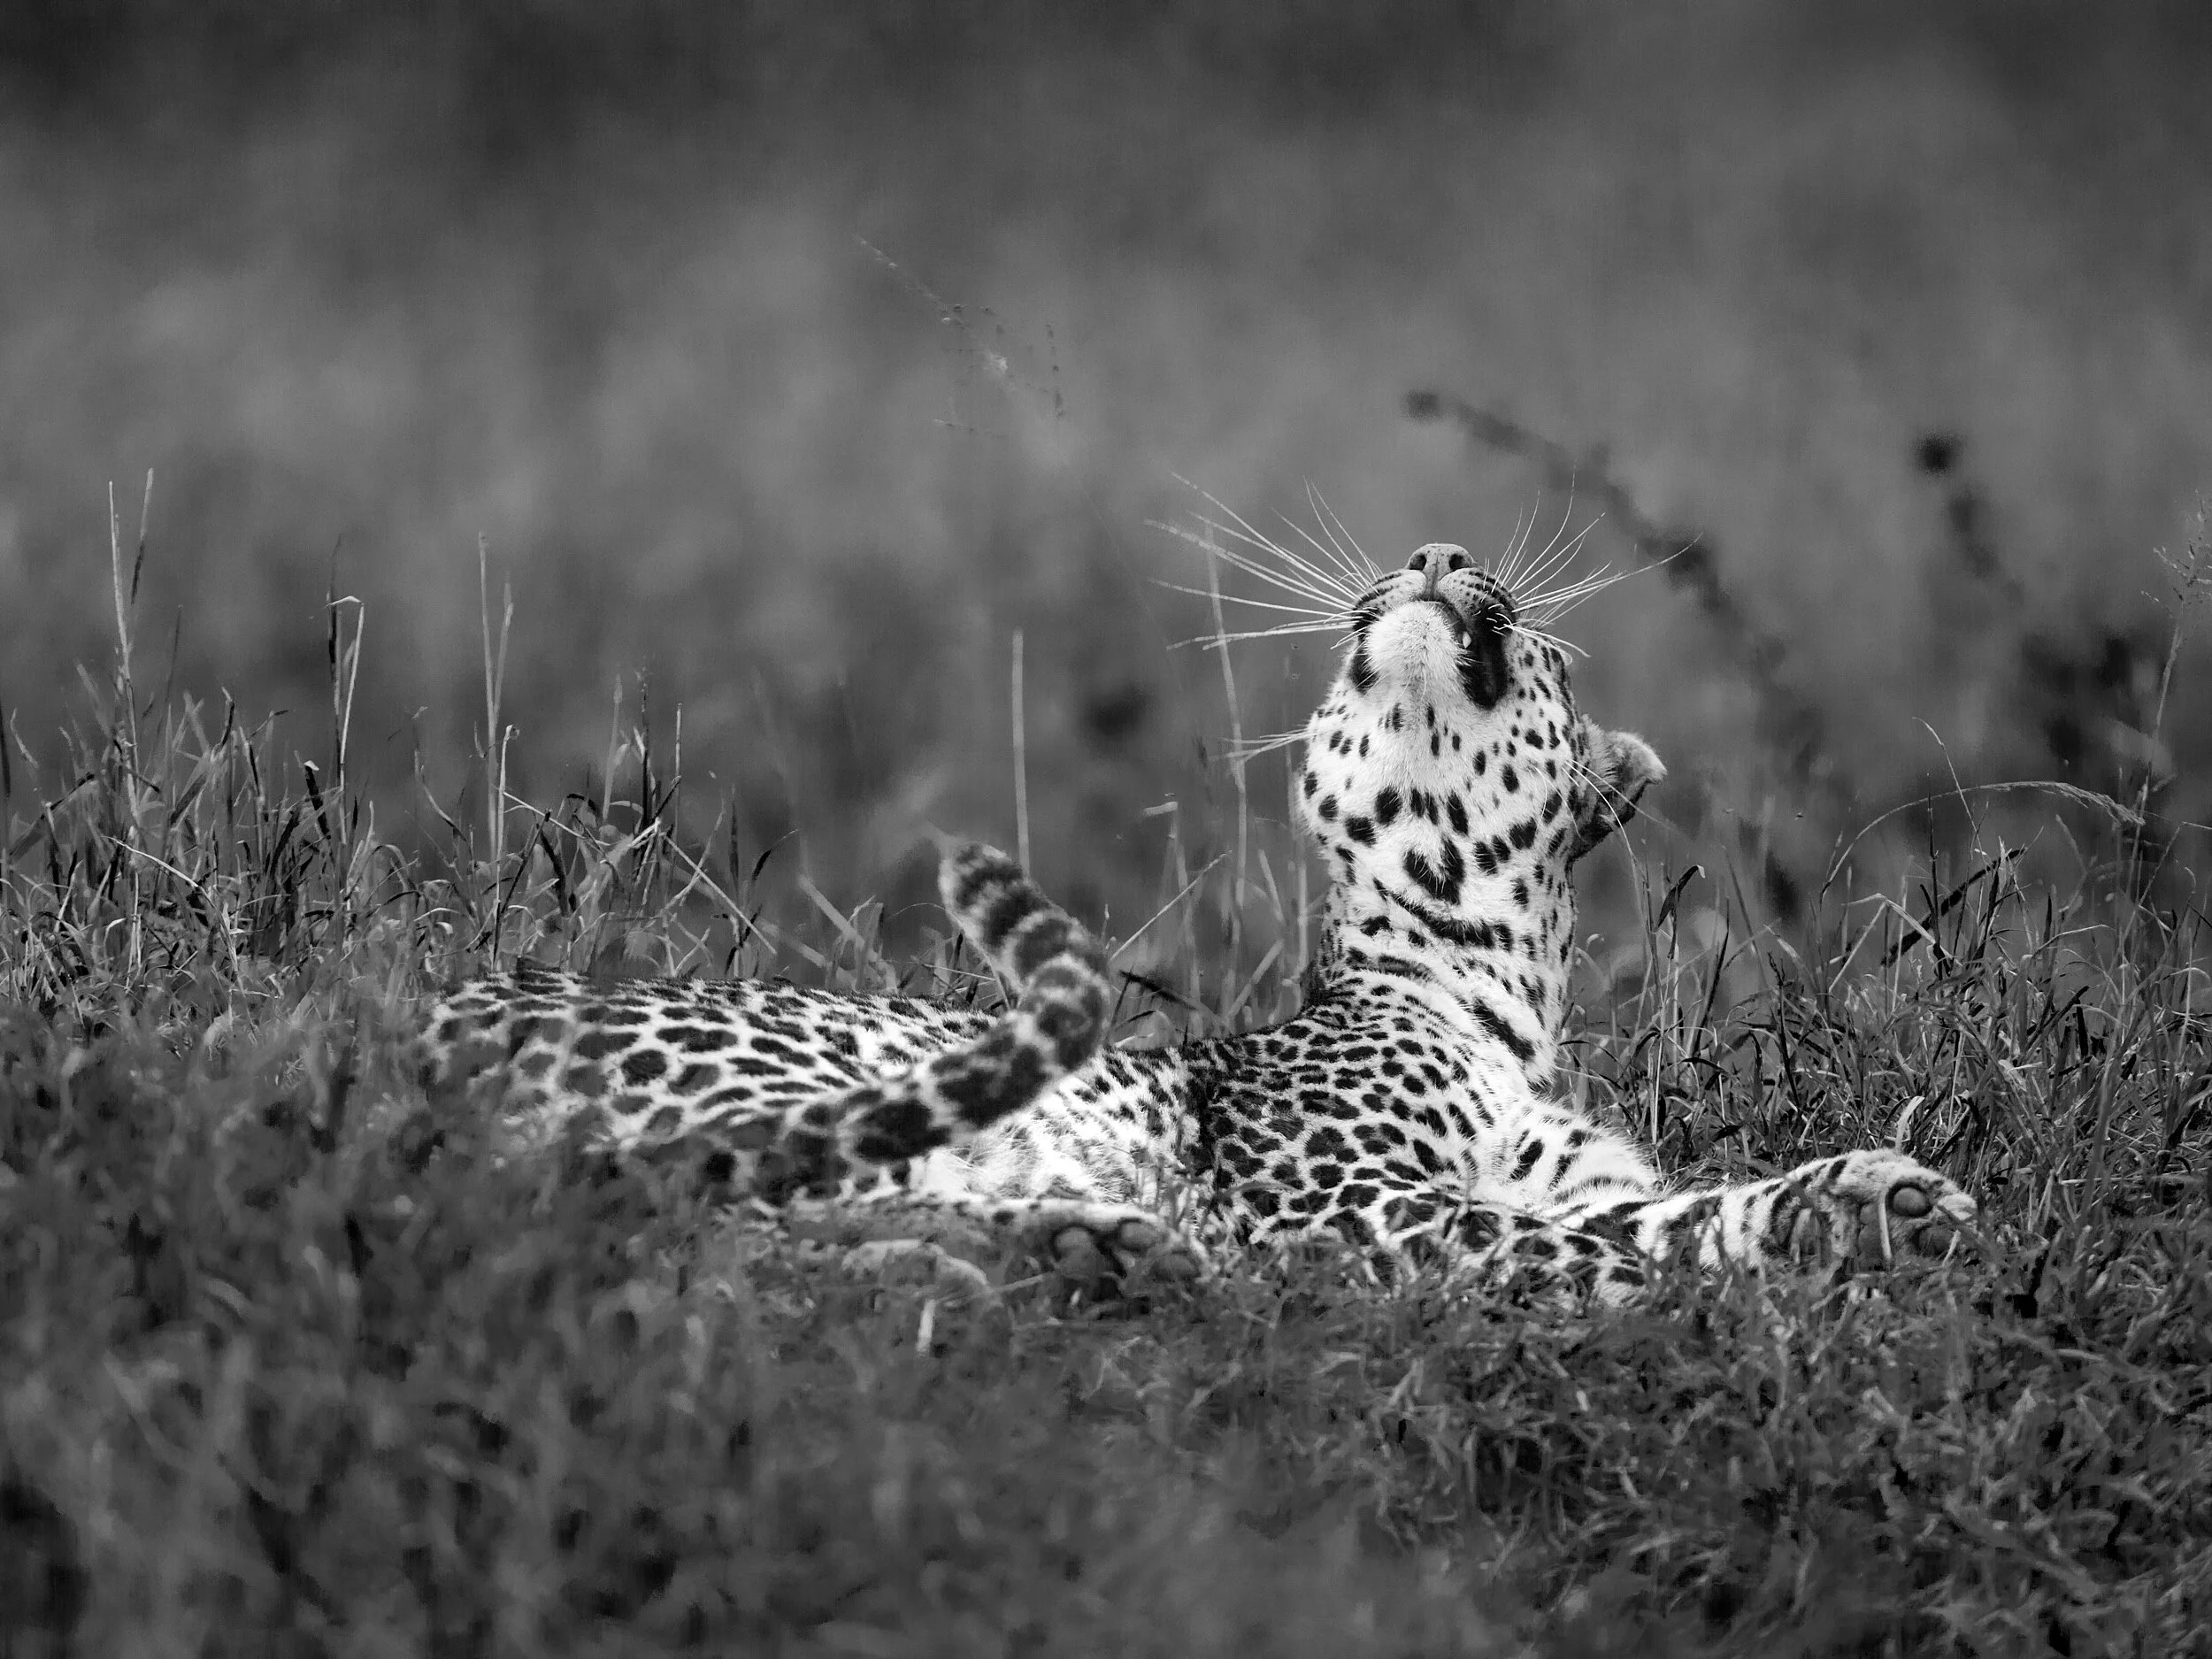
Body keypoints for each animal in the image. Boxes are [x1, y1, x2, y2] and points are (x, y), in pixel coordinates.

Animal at [418, 539, 1978, 1307]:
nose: (1438, 547)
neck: (1482, 984)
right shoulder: (1335, 1210)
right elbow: (1588, 1252)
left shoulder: (1555, 1176)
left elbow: (1670, 1209)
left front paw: (1873, 1195)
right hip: (799, 1070)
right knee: (652, 1222)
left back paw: (1076, 1252)